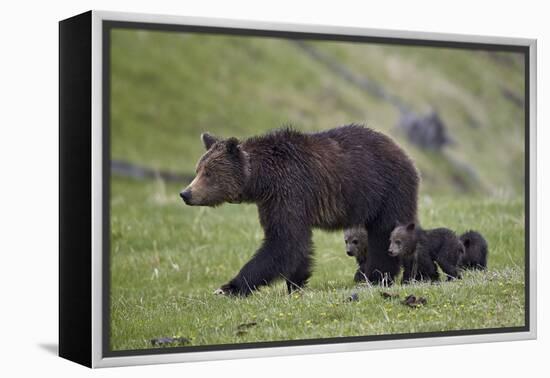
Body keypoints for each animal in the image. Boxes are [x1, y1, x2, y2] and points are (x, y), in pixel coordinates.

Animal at [181, 125, 418, 296]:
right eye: (198, 169)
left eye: (208, 173)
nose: (186, 193)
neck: (262, 180)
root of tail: (403, 151)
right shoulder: (272, 201)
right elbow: (294, 245)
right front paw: (296, 283)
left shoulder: (290, 190)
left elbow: (284, 242)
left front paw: (229, 287)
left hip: (386, 190)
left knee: (385, 233)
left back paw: (378, 276)